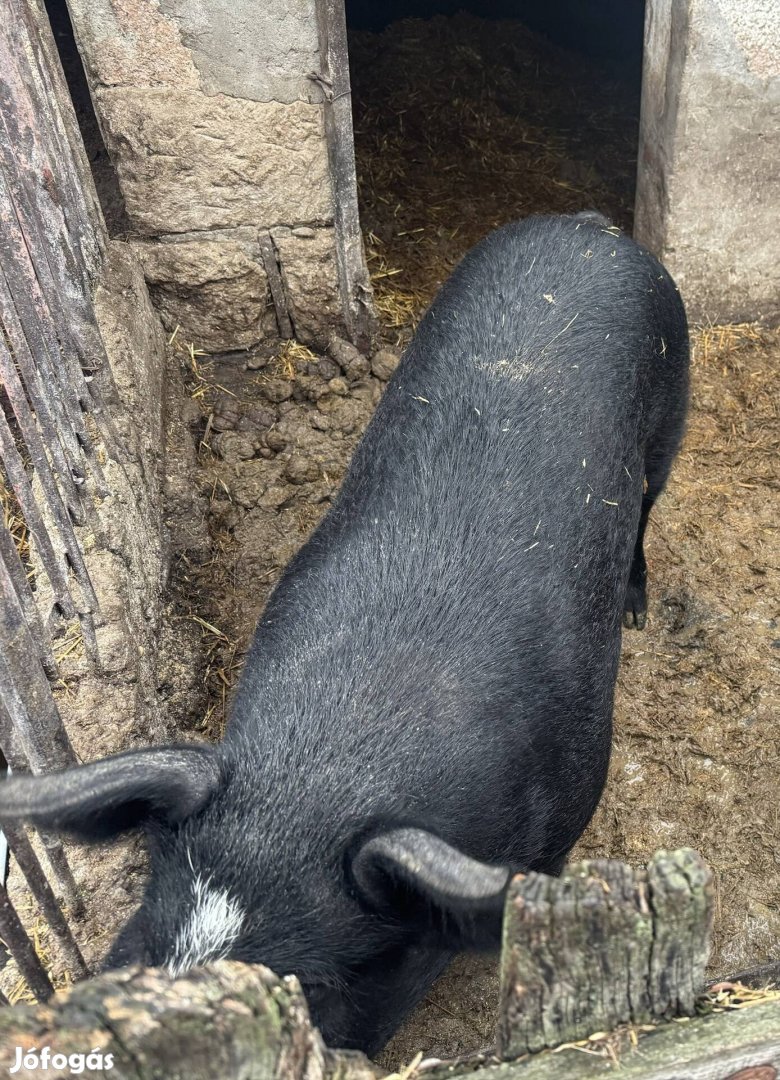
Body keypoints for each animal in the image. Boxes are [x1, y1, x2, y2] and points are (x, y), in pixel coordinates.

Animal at [0, 212, 682, 1054]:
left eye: (316, 985)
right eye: (143, 941)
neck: (324, 775)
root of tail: (583, 225)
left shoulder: (577, 788)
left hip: (670, 398)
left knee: (649, 499)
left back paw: (639, 609)